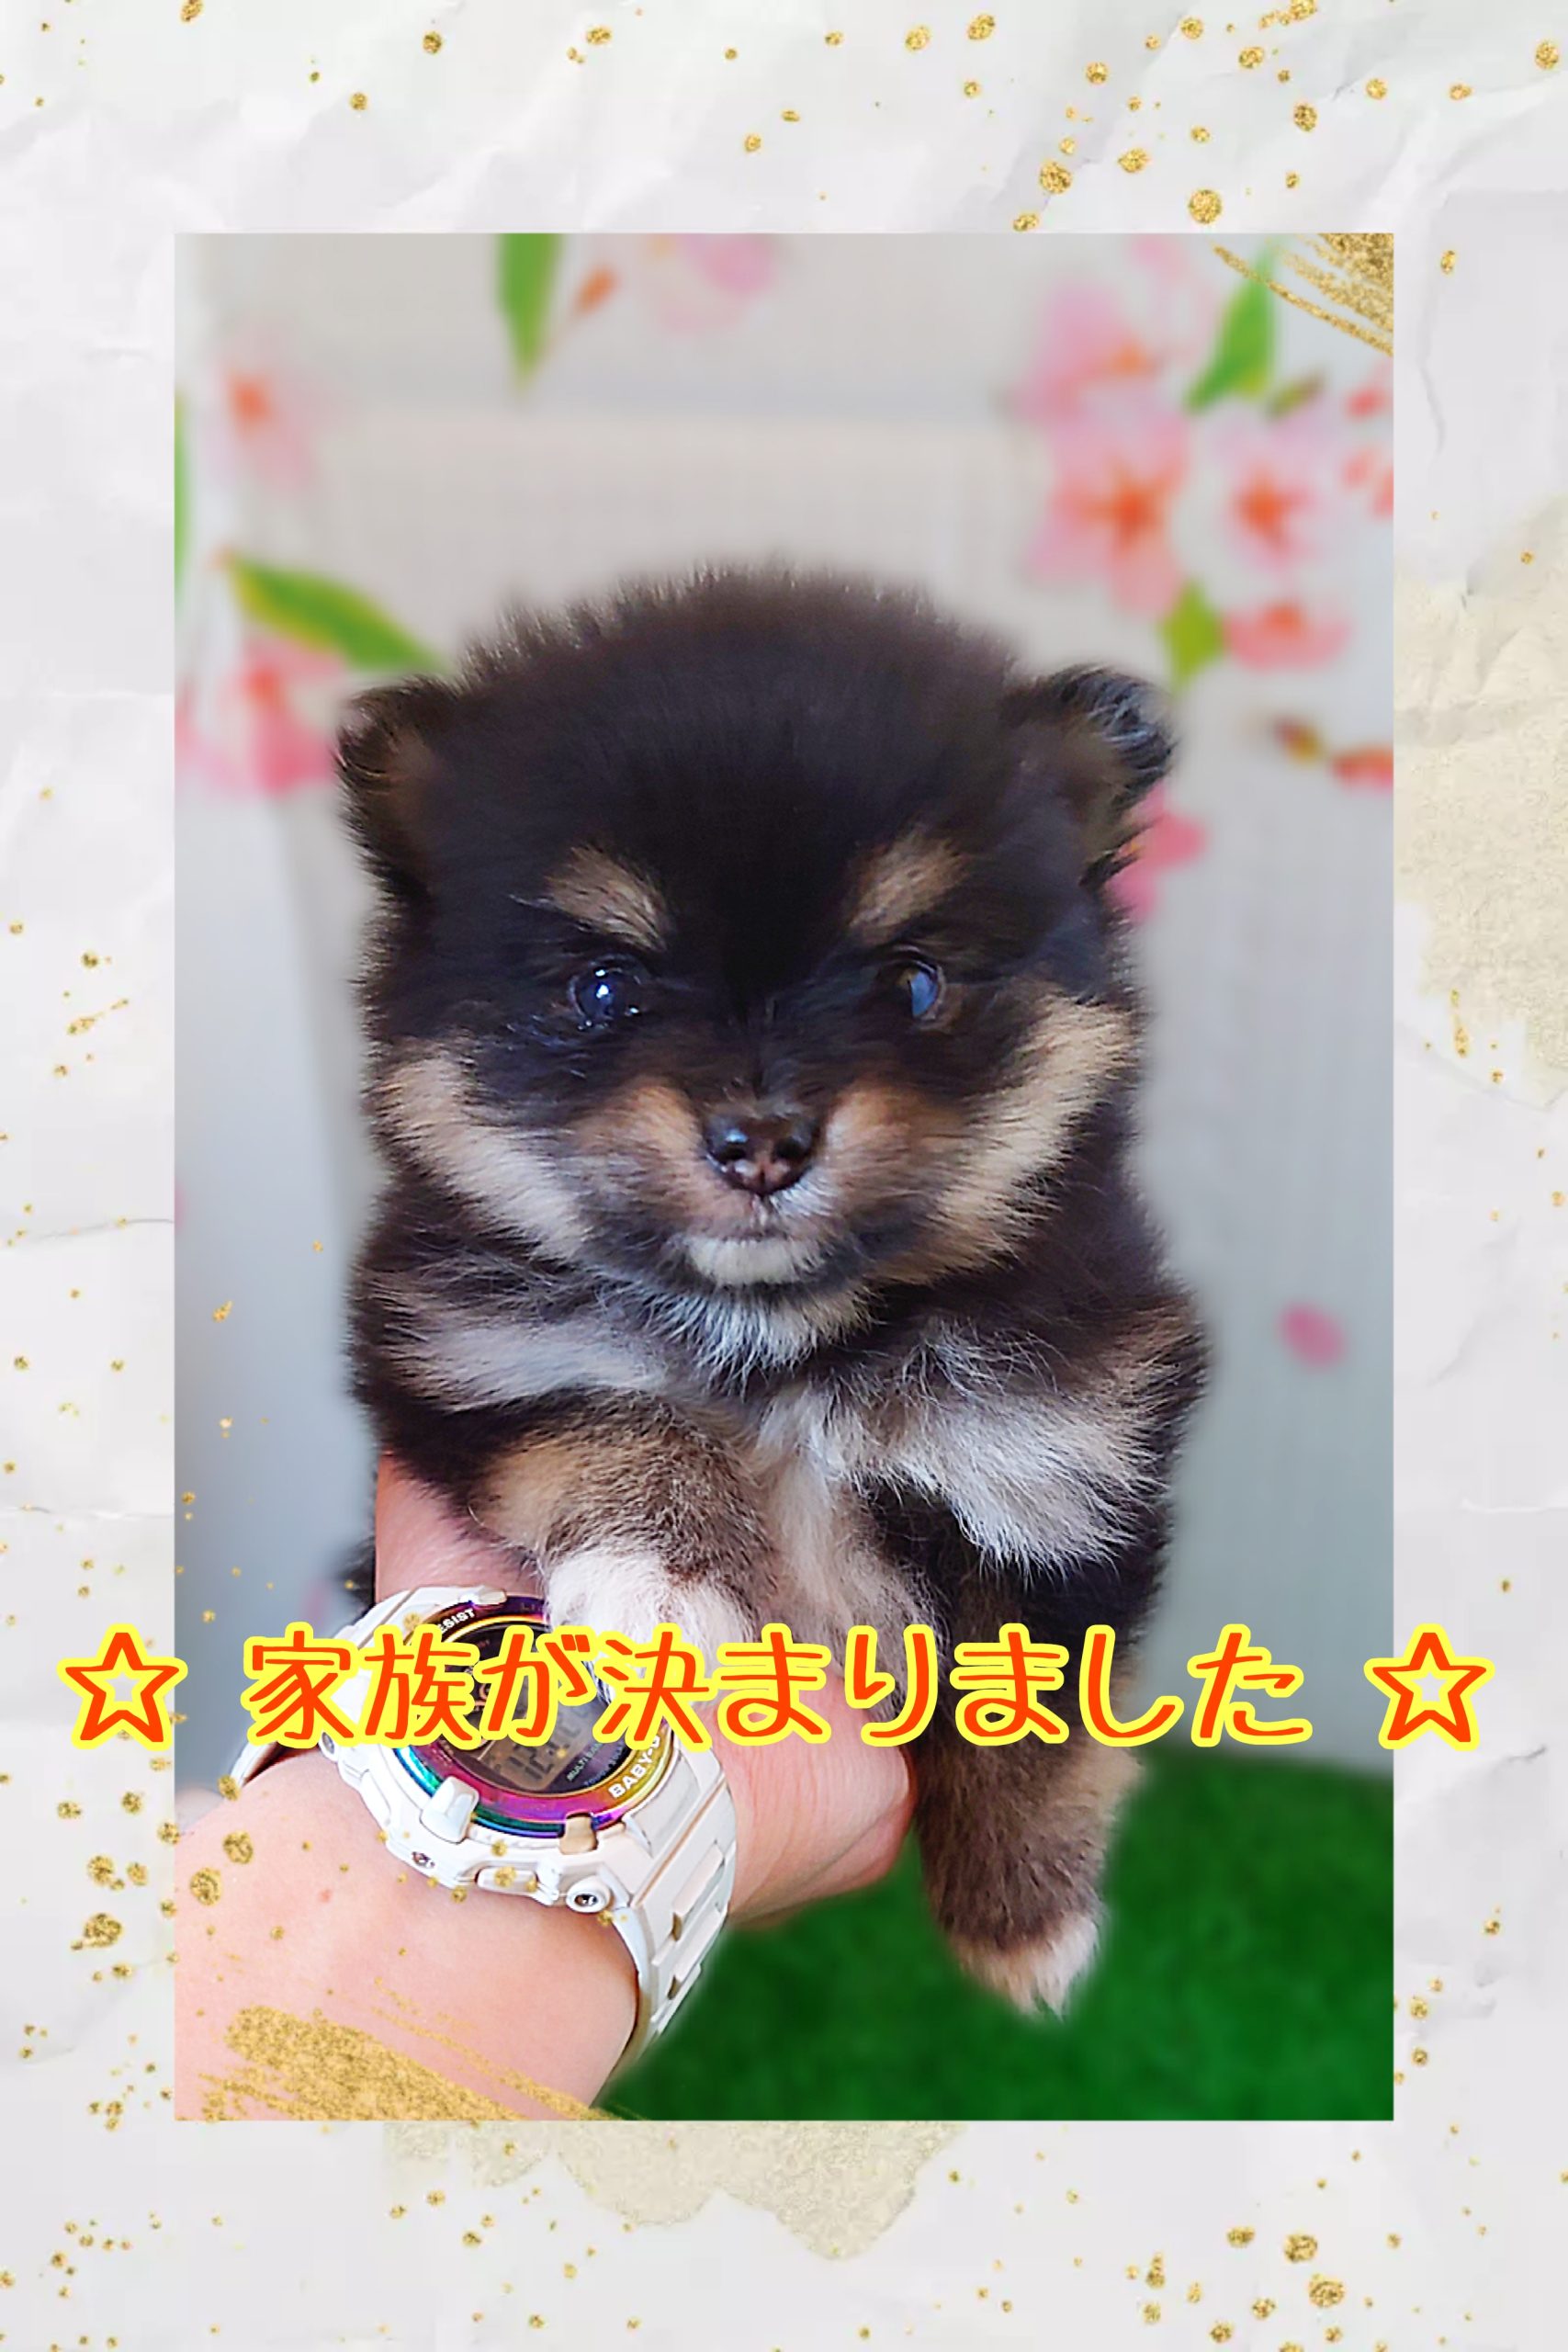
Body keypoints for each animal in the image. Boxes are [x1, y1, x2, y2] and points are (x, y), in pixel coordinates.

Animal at [339, 568, 1205, 2012]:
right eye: (602, 988)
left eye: (911, 982)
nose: (759, 1138)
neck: (786, 1340)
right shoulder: (464, 1350)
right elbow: (606, 1415)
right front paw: (659, 1579)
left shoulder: (1061, 1460)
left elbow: (1032, 1713)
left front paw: (1025, 1914)